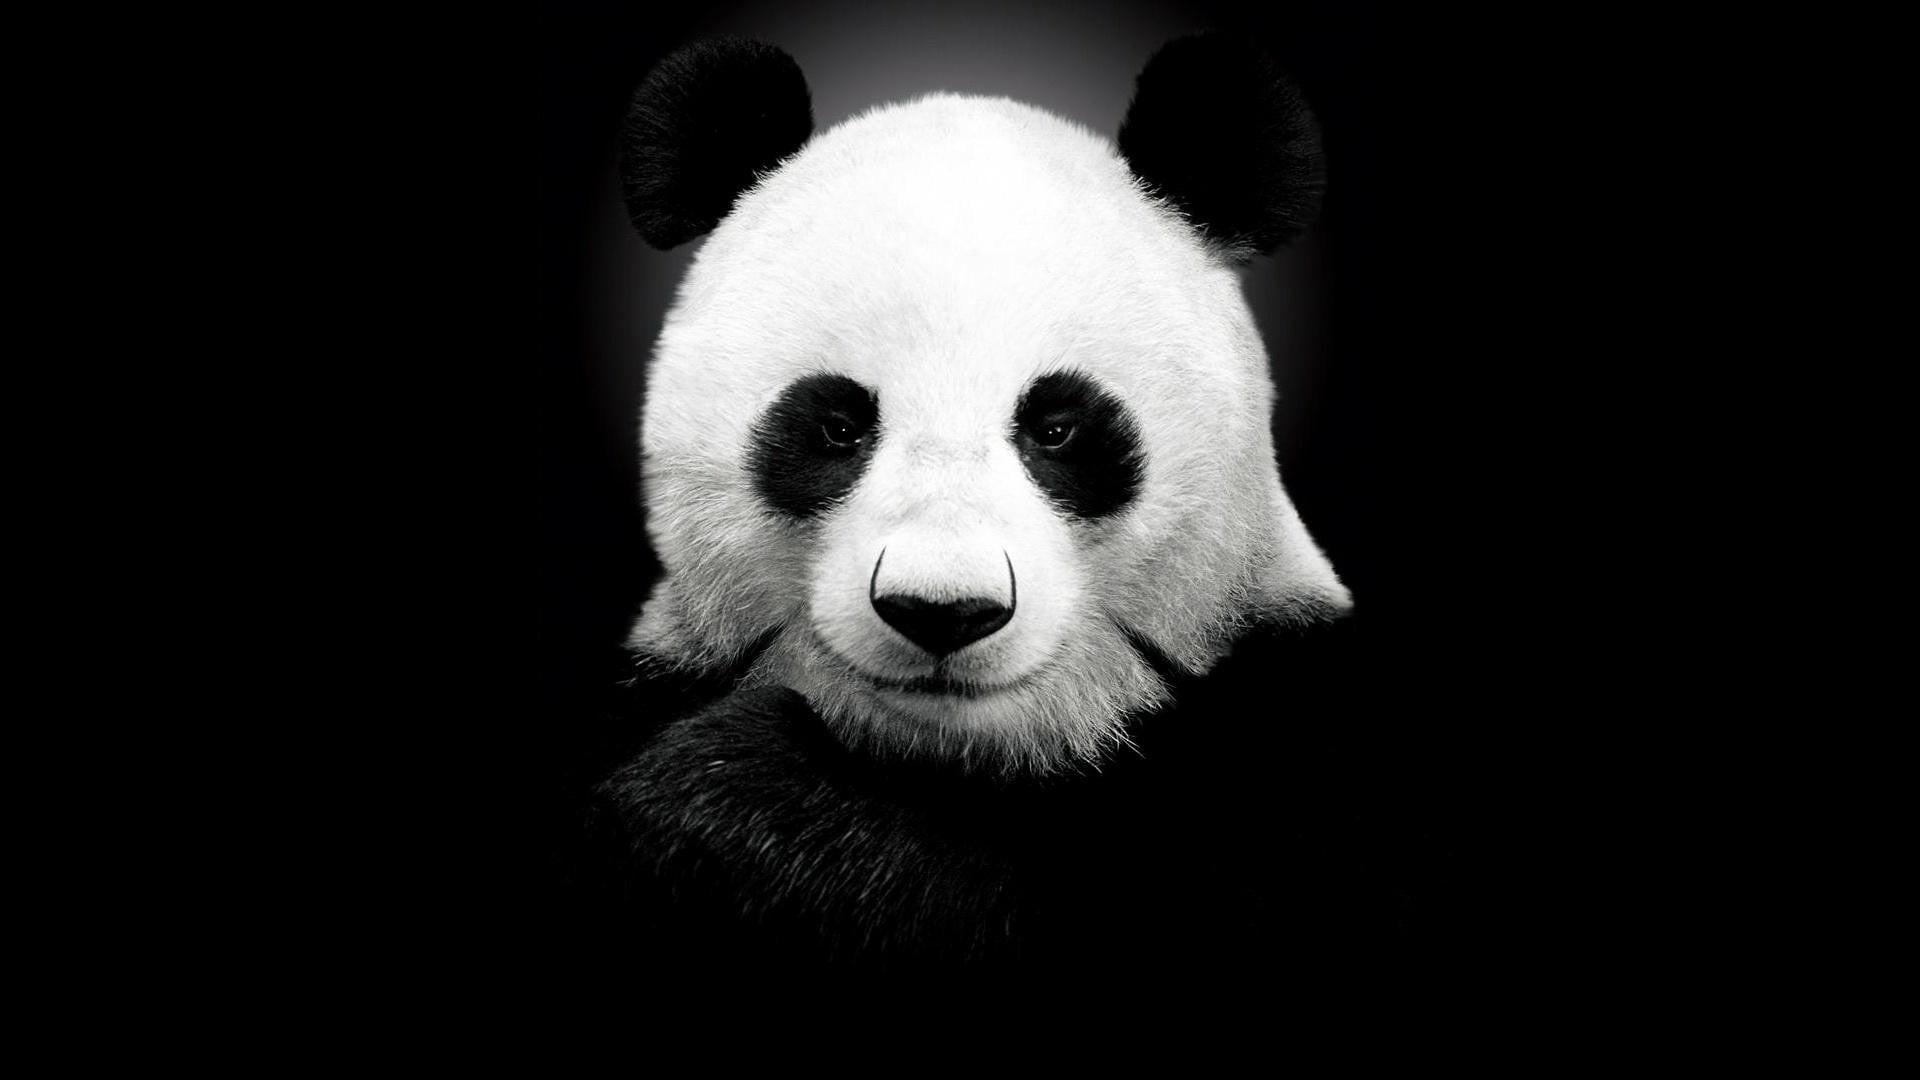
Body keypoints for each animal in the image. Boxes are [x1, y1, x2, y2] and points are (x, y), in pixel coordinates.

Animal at [581, 34, 1412, 977]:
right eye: (836, 427)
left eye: (1057, 429)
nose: (943, 611)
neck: (961, 758)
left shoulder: (1299, 743)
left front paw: (730, 800)